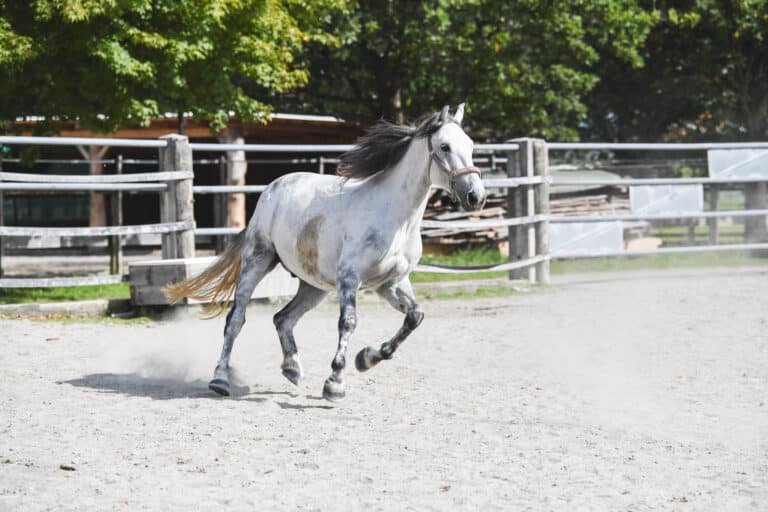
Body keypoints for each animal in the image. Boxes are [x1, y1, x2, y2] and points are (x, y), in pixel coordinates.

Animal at [164, 104, 487, 401]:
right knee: (236, 319)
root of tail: (272, 188)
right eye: (445, 147)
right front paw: (335, 383)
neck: (396, 218)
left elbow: (415, 316)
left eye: (471, 146)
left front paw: (367, 358)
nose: (476, 196)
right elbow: (348, 323)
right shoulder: (349, 279)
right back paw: (220, 379)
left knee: (283, 318)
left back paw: (292, 368)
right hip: (258, 261)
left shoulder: (391, 283)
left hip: (314, 284)